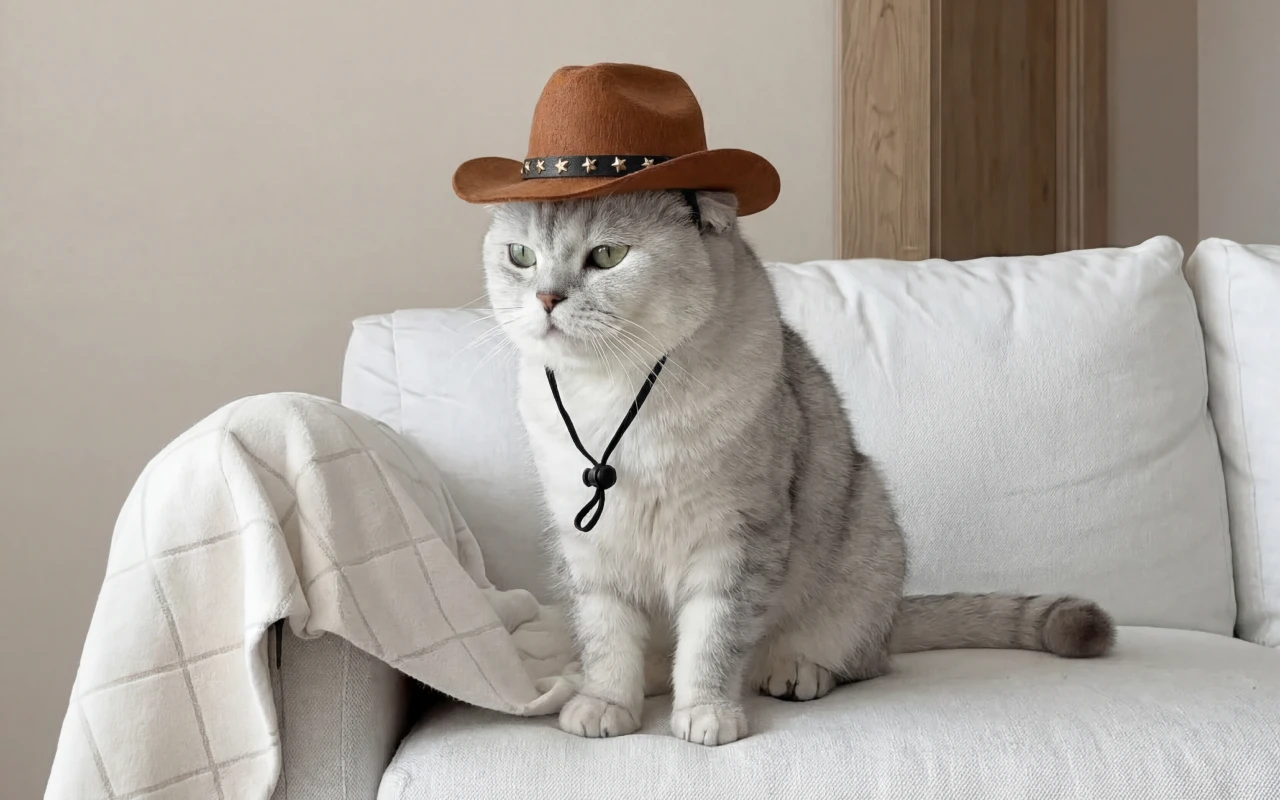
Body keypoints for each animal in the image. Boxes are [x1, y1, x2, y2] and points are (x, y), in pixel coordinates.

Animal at [480, 189, 1115, 746]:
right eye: (522, 256)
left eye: (608, 255)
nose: (546, 300)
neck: (614, 398)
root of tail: (891, 620)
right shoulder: (588, 548)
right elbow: (606, 639)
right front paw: (607, 702)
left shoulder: (736, 539)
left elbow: (712, 641)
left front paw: (706, 712)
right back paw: (647, 676)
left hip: (866, 528)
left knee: (858, 660)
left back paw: (795, 670)